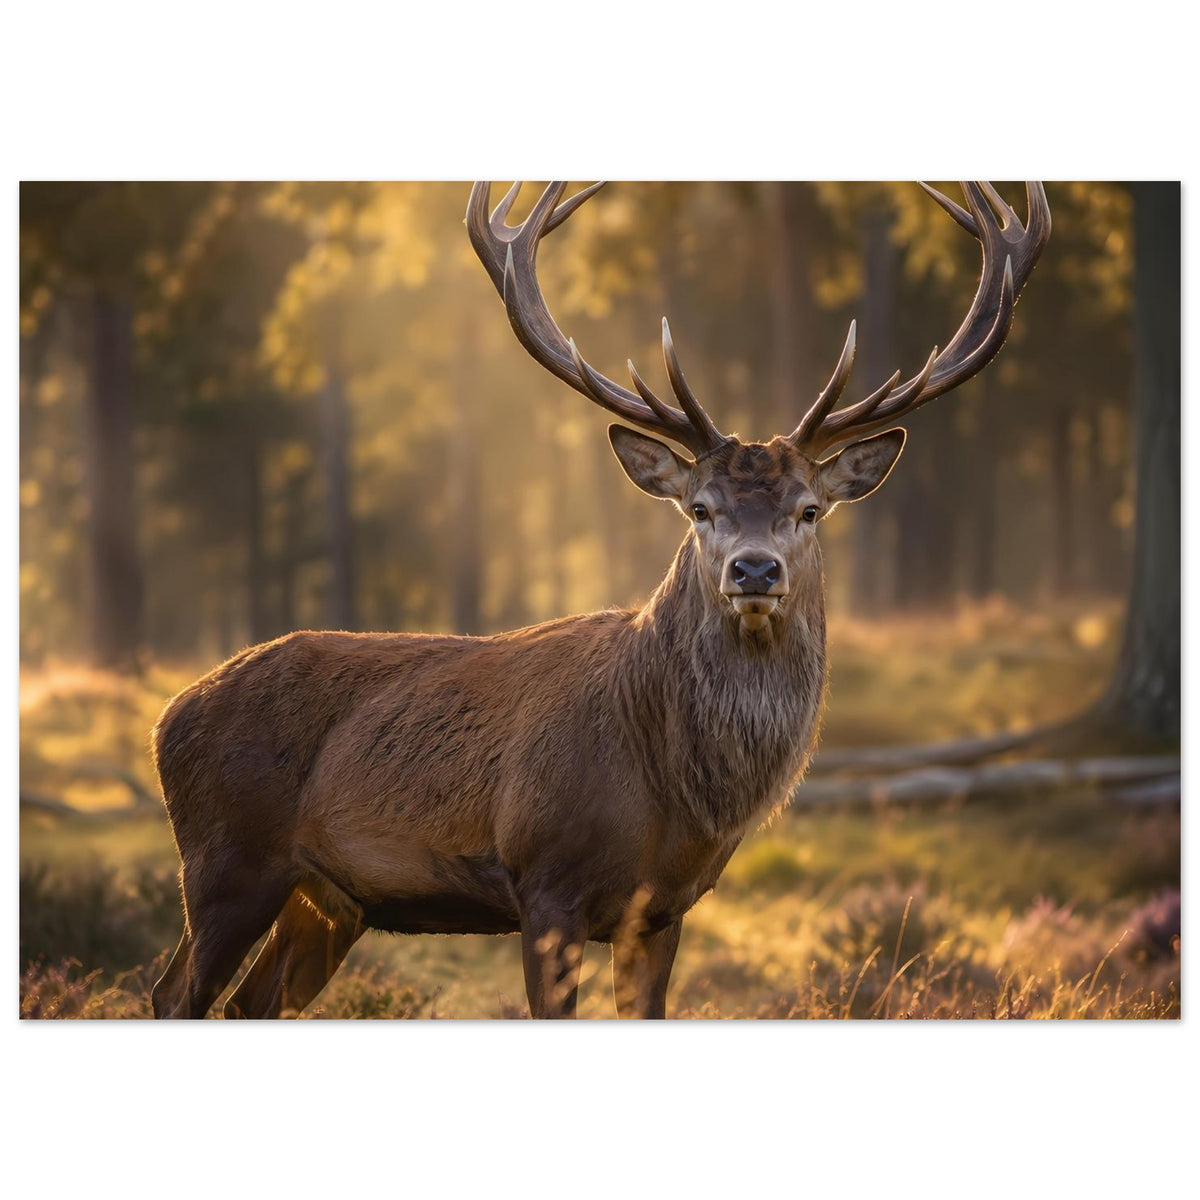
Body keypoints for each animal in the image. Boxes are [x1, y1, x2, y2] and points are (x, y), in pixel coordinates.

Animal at [150, 180, 1050, 1019]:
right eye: (700, 508)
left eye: (808, 509)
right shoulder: (545, 882)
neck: (669, 792)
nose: (754, 572)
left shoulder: (664, 910)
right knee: (175, 991)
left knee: (247, 1001)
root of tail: (169, 714)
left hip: (328, 898)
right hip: (225, 861)